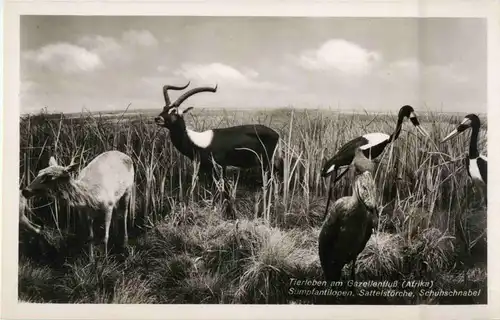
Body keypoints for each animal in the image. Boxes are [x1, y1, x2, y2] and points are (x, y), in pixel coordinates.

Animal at [155, 82, 280, 218]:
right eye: (164, 108)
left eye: (174, 111)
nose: (158, 119)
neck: (198, 140)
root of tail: (276, 134)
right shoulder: (208, 169)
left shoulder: (220, 167)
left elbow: (222, 190)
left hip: (266, 162)